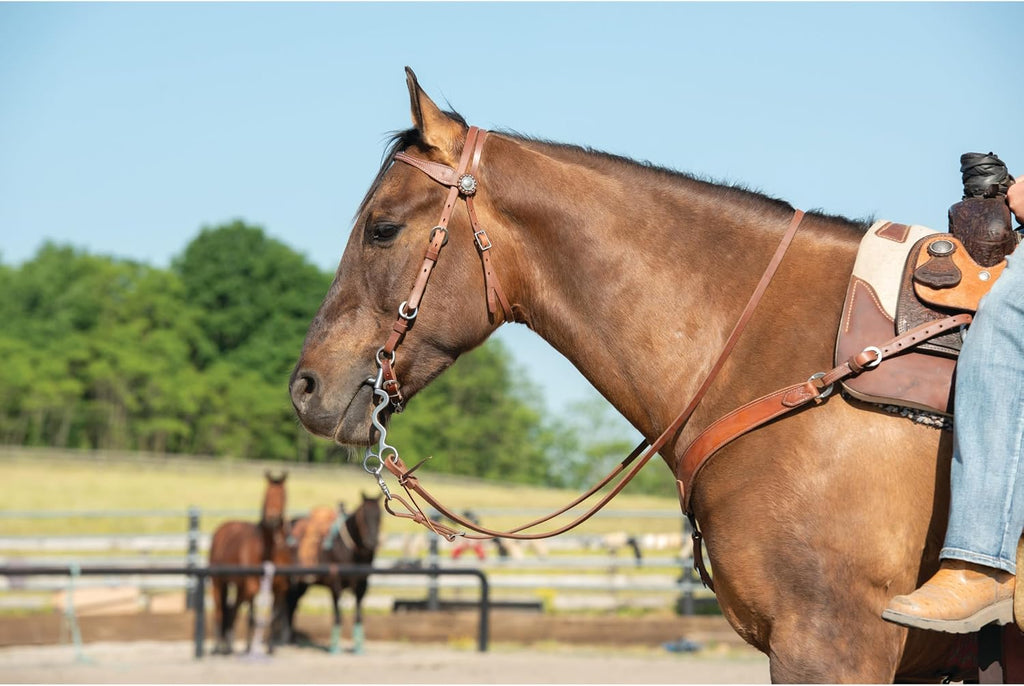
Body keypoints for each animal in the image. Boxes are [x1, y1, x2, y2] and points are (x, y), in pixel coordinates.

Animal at [208, 470, 293, 655]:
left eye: (284, 495)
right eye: (266, 494)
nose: (272, 518)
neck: (268, 552)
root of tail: (222, 529)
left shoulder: (279, 589)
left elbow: (272, 617)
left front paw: (270, 648)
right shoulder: (252, 587)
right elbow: (252, 618)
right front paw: (249, 648)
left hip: (239, 586)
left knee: (232, 610)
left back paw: (229, 644)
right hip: (219, 582)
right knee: (220, 611)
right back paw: (219, 646)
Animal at [285, 494, 382, 654]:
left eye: (379, 516)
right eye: (363, 516)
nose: (371, 542)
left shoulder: (362, 586)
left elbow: (358, 615)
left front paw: (358, 647)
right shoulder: (335, 584)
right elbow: (338, 614)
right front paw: (335, 647)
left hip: (301, 585)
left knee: (292, 604)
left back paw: (291, 639)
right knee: (290, 605)